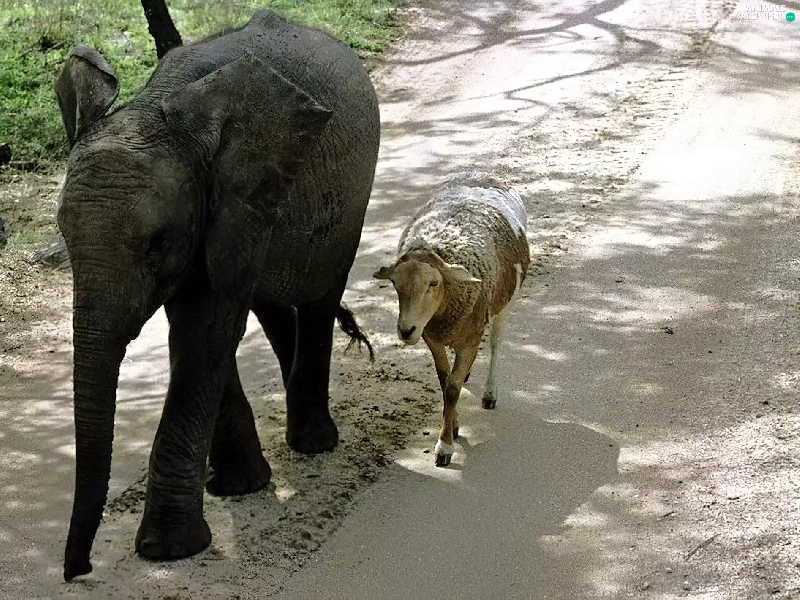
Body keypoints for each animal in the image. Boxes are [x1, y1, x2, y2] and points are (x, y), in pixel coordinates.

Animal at [55, 10, 380, 581]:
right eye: (62, 235)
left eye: (157, 243)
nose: (79, 569)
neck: (155, 105)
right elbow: (202, 333)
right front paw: (239, 486)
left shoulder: (233, 197)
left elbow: (203, 333)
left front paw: (169, 549)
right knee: (271, 302)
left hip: (348, 201)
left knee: (319, 298)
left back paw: (314, 443)